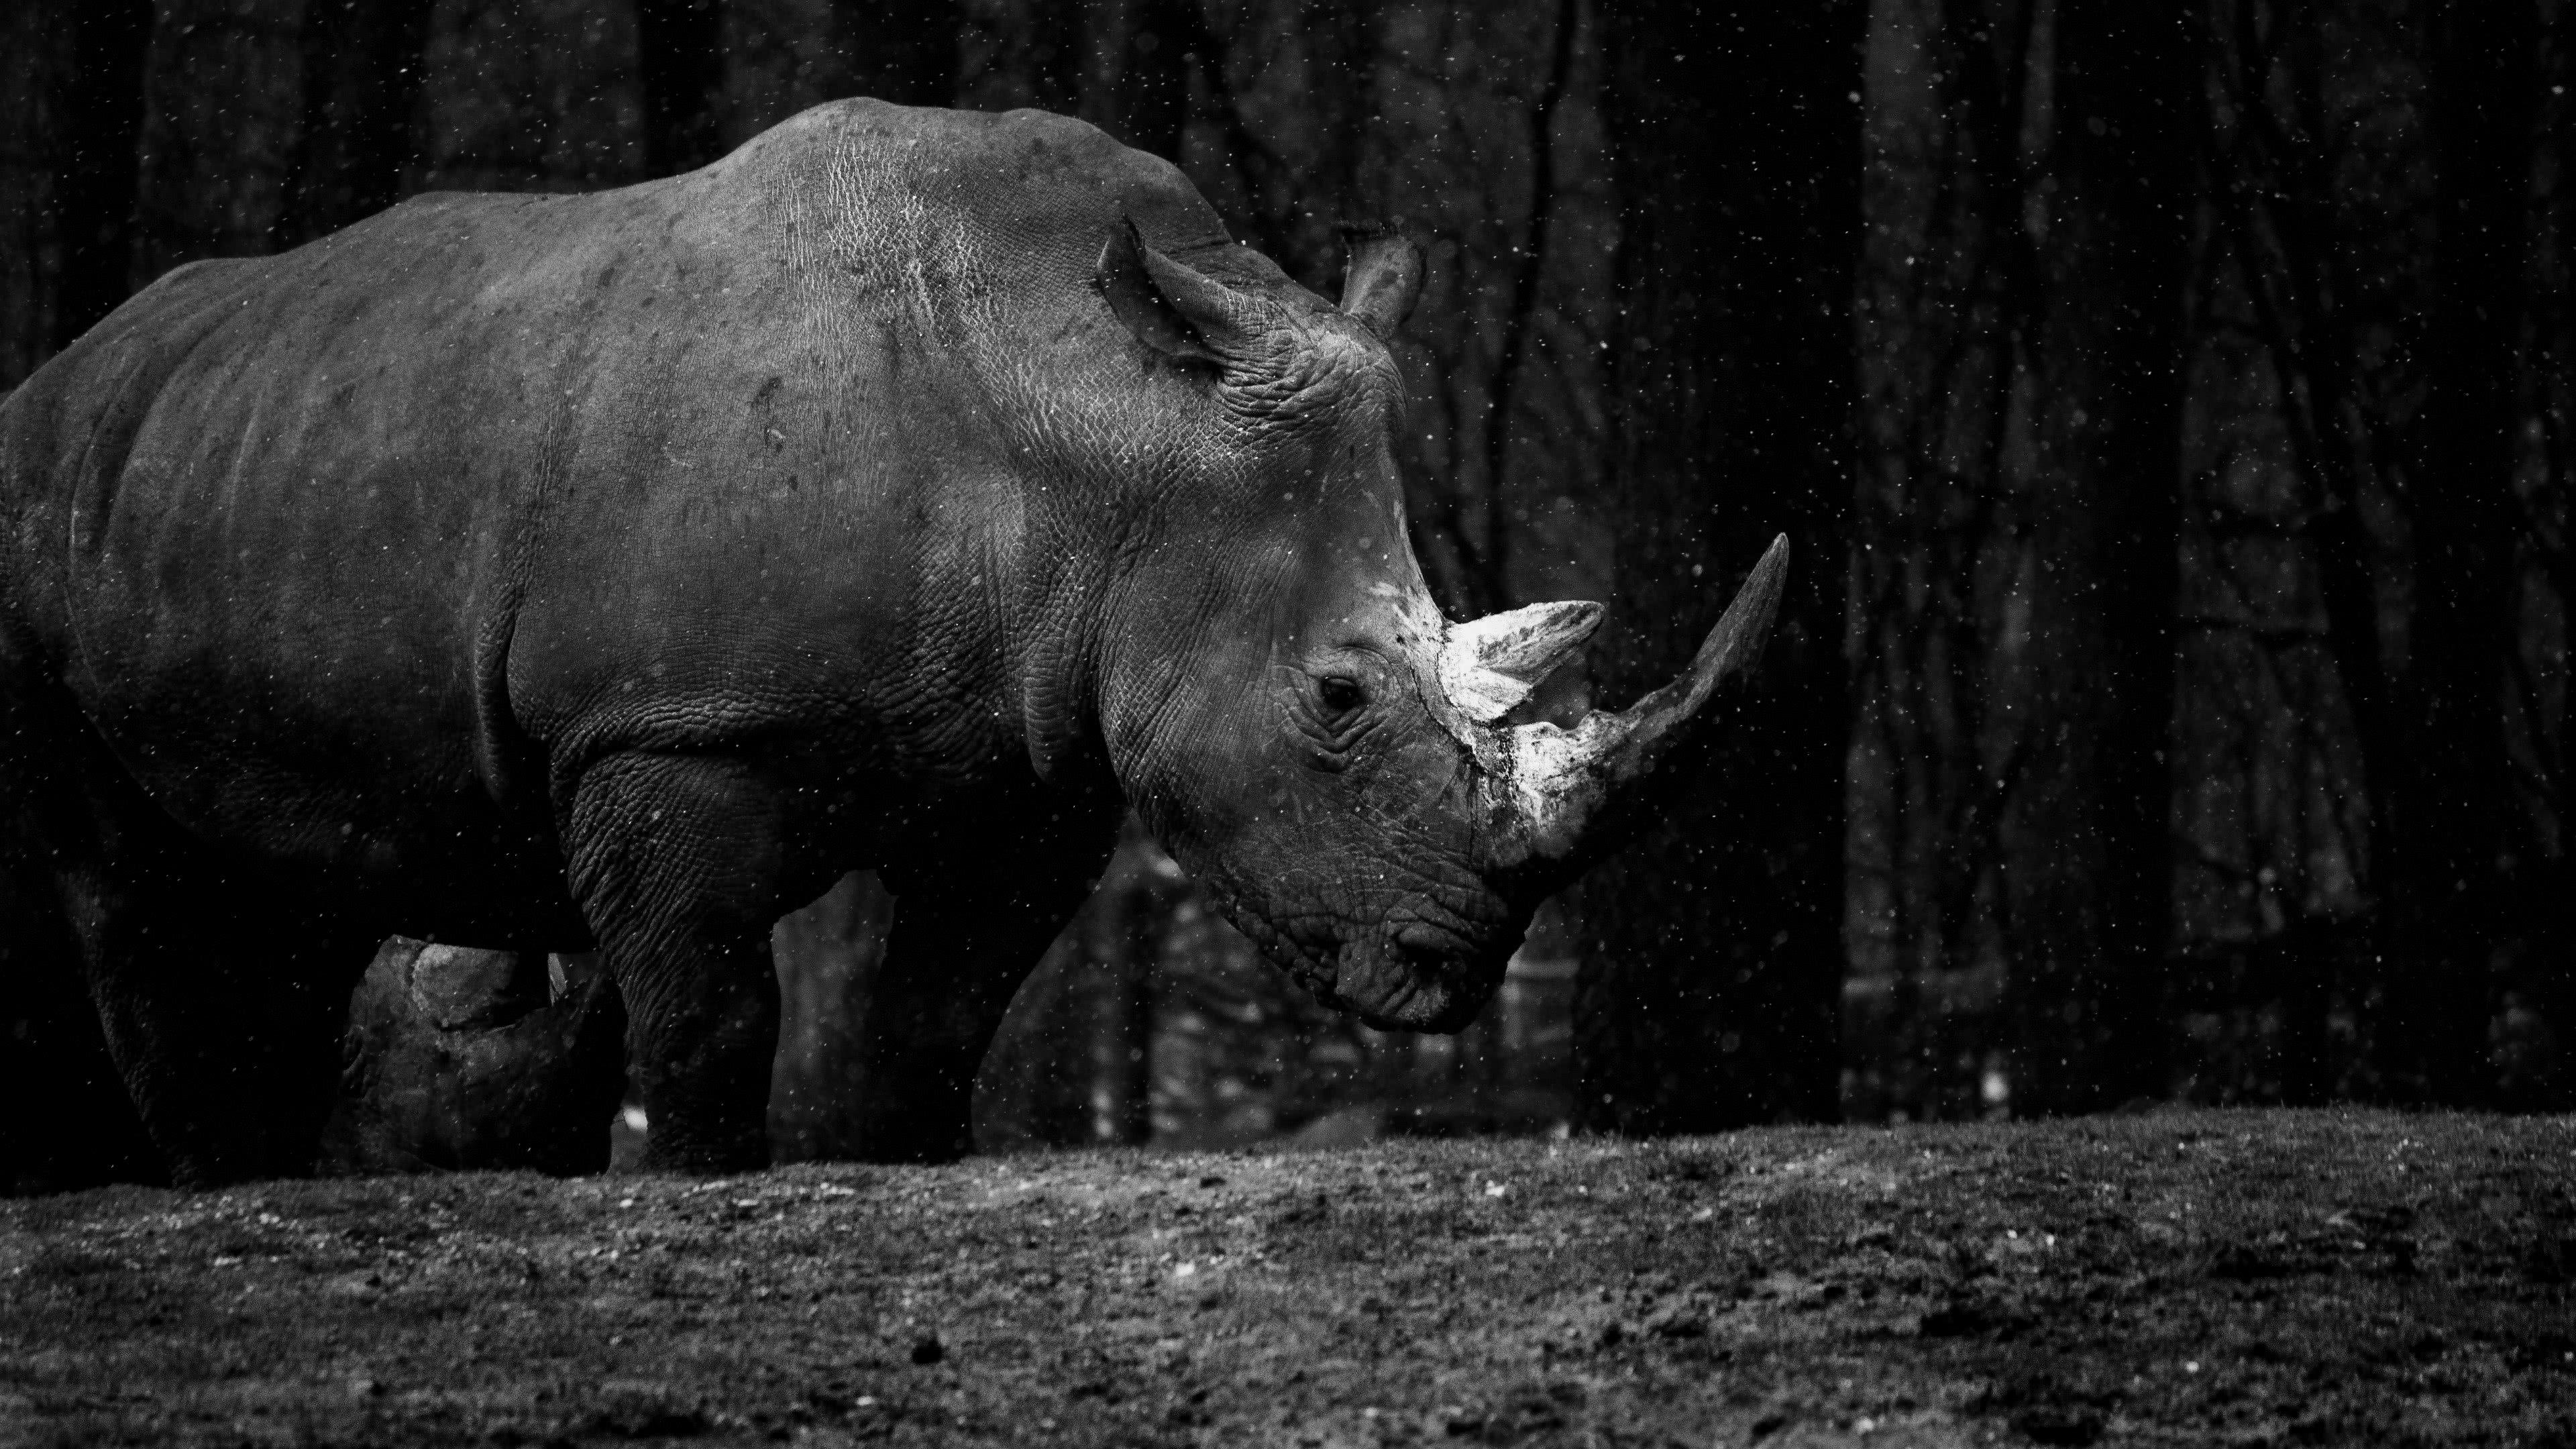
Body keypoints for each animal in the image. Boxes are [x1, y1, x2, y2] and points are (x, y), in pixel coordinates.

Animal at [0, 100, 1784, 1188]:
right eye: (1336, 696)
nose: (1450, 969)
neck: (1100, 420)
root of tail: (56, 376)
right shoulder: (666, 725)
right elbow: (709, 1015)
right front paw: (697, 1180)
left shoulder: (1036, 757)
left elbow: (936, 1015)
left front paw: (888, 1152)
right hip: (42, 528)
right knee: (132, 883)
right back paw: (226, 1180)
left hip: (238, 465)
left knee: (285, 876)